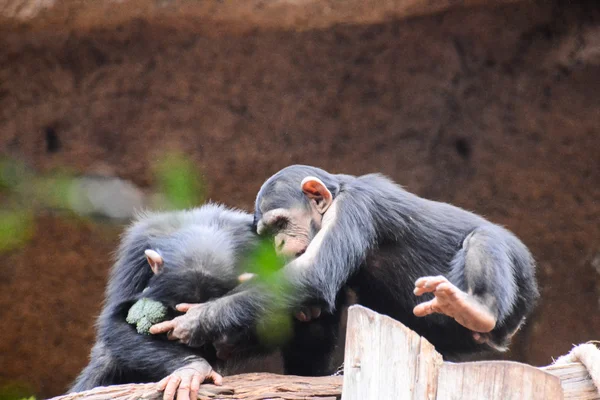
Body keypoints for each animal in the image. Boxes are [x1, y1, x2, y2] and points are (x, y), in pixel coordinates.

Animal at [150, 166, 540, 362]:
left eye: (280, 223)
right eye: (266, 233)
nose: (278, 244)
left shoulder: (355, 208)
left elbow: (312, 276)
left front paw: (196, 319)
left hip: (518, 267)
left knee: (484, 242)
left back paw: (477, 307)